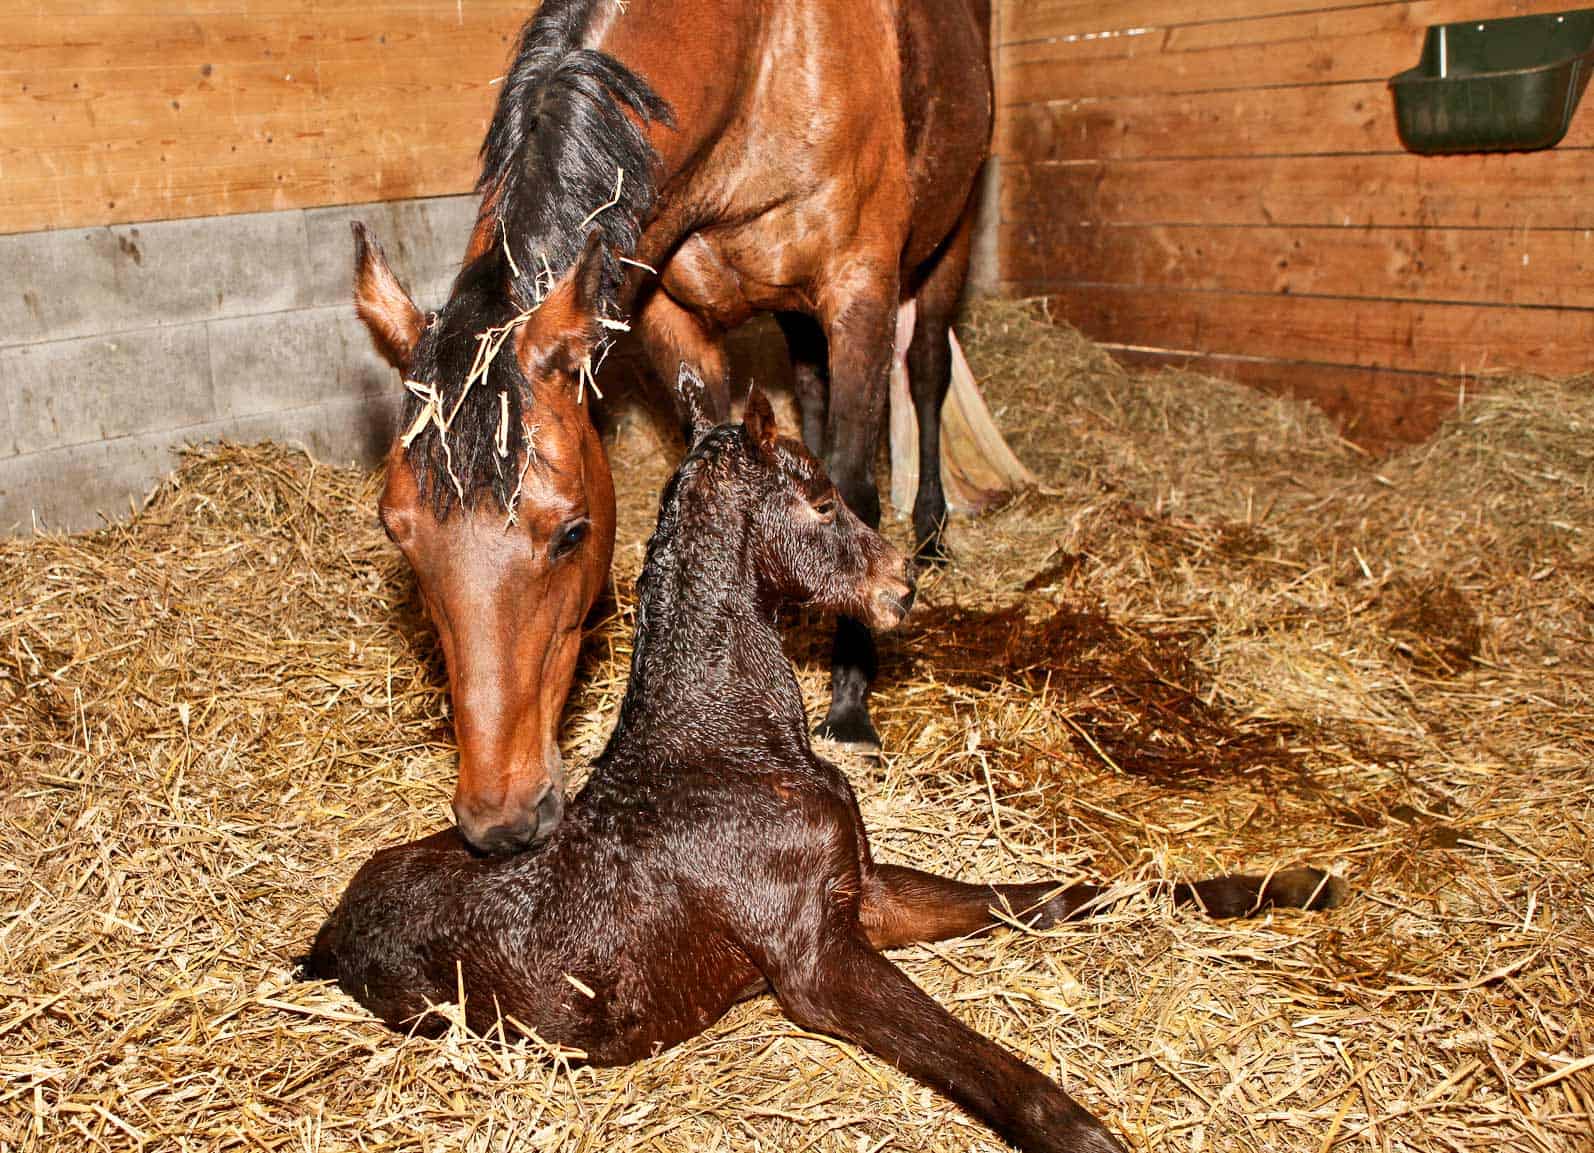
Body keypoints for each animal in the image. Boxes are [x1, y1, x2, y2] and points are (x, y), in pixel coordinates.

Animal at [301, 382, 1345, 1148]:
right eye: (822, 498)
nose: (903, 585)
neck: (725, 749)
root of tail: (329, 936)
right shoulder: (814, 960)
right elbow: (968, 1049)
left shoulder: (866, 894)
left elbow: (1055, 896)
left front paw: (1287, 884)